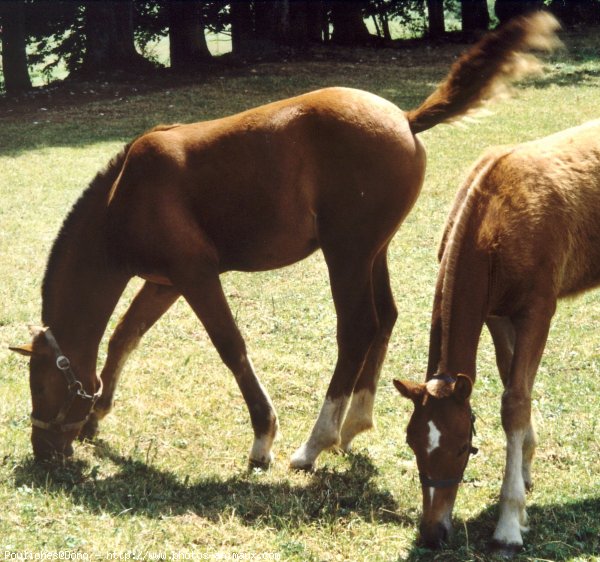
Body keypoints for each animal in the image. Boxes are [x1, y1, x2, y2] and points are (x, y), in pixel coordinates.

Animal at [394, 118, 600, 552]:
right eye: (412, 443)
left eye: (462, 447)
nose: (433, 533)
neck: (494, 218)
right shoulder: (495, 313)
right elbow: (512, 383)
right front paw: (524, 472)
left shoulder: (538, 310)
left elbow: (515, 401)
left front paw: (509, 522)